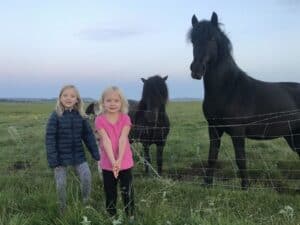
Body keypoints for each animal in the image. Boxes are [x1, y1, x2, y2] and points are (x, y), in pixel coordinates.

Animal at [190, 12, 300, 188]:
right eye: (193, 40)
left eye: (212, 38)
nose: (196, 70)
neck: (228, 89)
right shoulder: (213, 128)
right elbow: (212, 157)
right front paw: (207, 184)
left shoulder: (238, 132)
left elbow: (241, 160)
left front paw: (245, 187)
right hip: (293, 137)